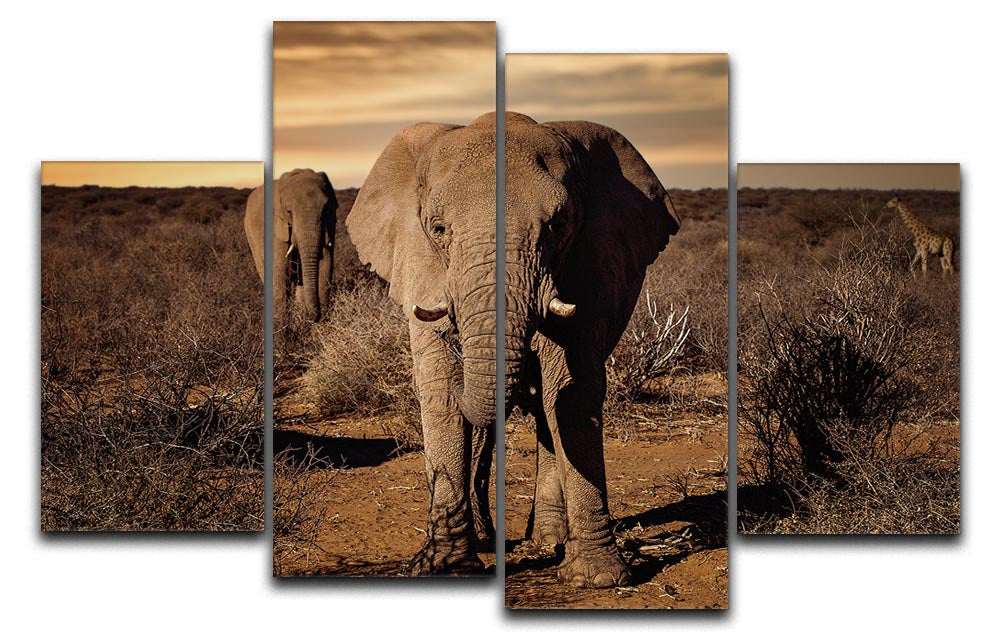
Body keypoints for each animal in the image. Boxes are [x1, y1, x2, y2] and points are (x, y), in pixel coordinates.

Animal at [244, 169, 338, 322]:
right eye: (289, 212)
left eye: (326, 209)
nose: (313, 317)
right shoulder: (276, 227)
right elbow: (281, 272)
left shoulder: (331, 223)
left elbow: (326, 266)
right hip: (251, 237)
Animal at [504, 112, 681, 588]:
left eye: (559, 225)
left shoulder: (595, 255)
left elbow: (572, 388)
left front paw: (598, 580)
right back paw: (546, 541)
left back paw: (548, 541)